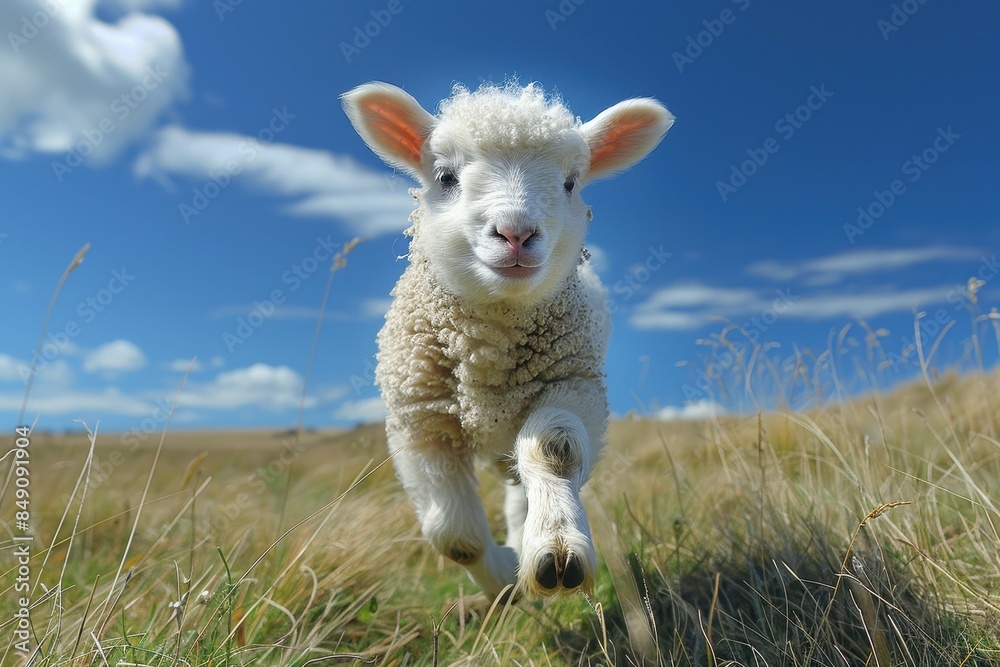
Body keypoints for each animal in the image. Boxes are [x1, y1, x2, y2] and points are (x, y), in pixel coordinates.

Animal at [342, 81, 672, 599]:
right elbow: (454, 537)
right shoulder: (421, 420)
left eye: (571, 182)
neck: (487, 350)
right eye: (445, 177)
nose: (516, 233)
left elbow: (554, 450)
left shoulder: (574, 385)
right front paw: (501, 581)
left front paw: (556, 551)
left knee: (520, 487)